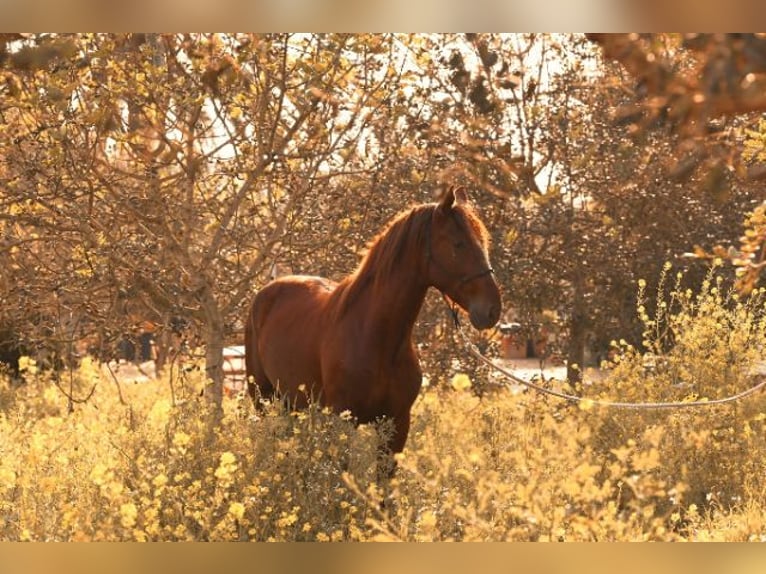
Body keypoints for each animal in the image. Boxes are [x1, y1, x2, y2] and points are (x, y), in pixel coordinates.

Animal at [244, 186, 501, 464]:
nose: (492, 310)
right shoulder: (343, 421)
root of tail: (266, 291)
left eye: (484, 242)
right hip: (264, 400)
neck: (376, 337)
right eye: (458, 244)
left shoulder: (396, 424)